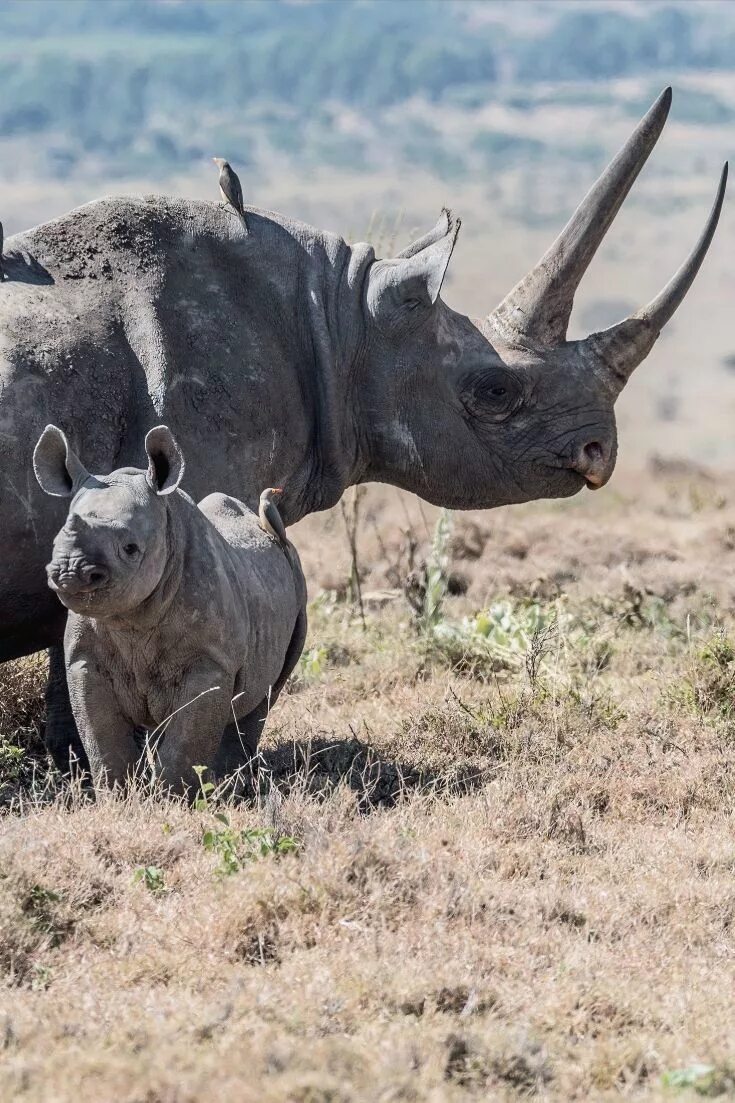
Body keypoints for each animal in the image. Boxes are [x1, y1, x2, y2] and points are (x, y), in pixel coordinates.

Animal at [33, 421, 306, 794]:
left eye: (130, 548)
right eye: (56, 540)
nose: (71, 572)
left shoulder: (212, 662)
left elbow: (186, 742)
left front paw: (173, 797)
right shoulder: (84, 659)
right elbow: (101, 736)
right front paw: (118, 794)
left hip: (297, 588)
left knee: (264, 697)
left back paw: (229, 783)